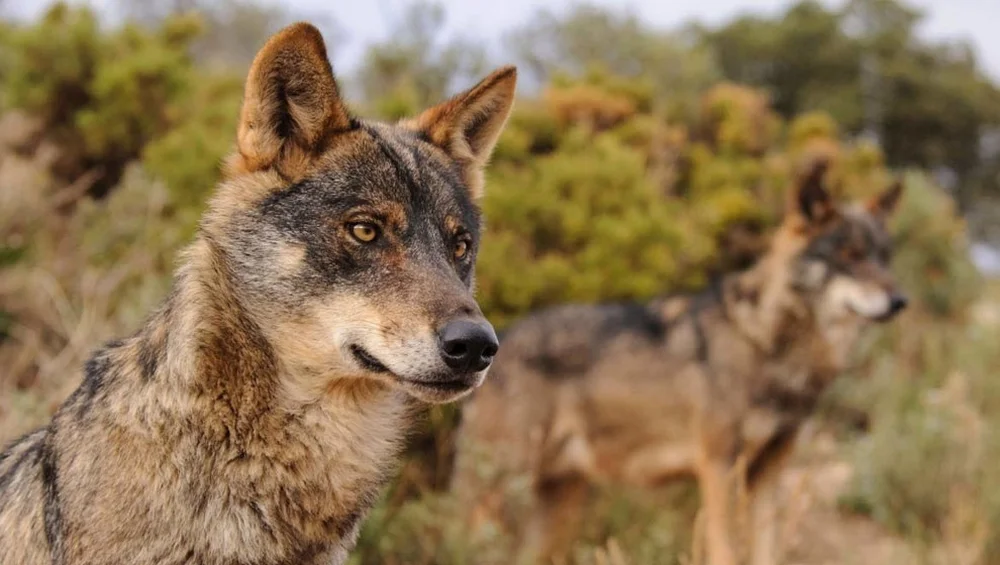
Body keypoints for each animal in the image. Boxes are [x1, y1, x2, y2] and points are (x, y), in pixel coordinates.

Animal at [454, 160, 908, 564]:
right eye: (849, 254)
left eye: (884, 257)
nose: (900, 301)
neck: (766, 342)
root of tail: (498, 340)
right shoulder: (719, 467)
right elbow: (725, 551)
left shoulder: (769, 474)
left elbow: (766, 551)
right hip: (500, 495)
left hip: (557, 507)